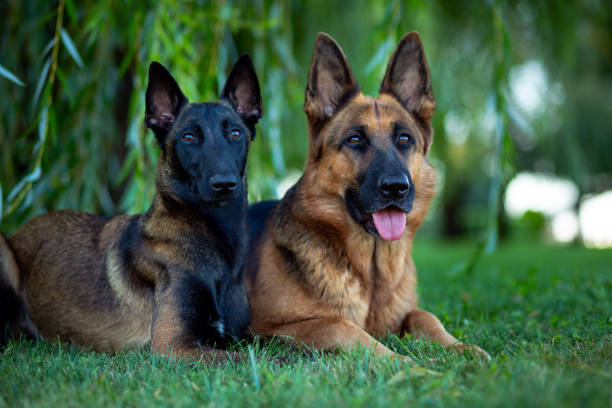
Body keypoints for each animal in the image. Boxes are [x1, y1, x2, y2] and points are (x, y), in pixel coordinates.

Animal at [0, 55, 262, 364]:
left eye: (235, 133)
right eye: (188, 137)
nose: (224, 184)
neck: (214, 237)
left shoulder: (240, 336)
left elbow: (283, 343)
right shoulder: (174, 345)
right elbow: (259, 359)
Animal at [246, 32, 490, 364]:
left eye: (404, 139)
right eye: (355, 139)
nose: (396, 187)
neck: (372, 274)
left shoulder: (404, 314)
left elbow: (424, 315)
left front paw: (462, 348)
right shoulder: (274, 328)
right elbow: (342, 326)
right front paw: (409, 364)